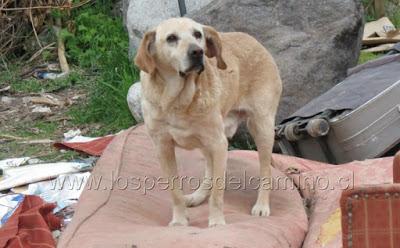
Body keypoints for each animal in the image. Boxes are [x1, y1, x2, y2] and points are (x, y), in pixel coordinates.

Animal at [134, 17, 282, 227]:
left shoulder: (218, 144)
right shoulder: (163, 148)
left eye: (198, 34)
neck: (178, 101)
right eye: (171, 38)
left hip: (261, 128)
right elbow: (175, 193)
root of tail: (252, 39)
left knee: (265, 170)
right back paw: (199, 195)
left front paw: (217, 223)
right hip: (207, 143)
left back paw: (262, 205)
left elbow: (217, 194)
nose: (198, 52)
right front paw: (179, 221)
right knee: (210, 172)